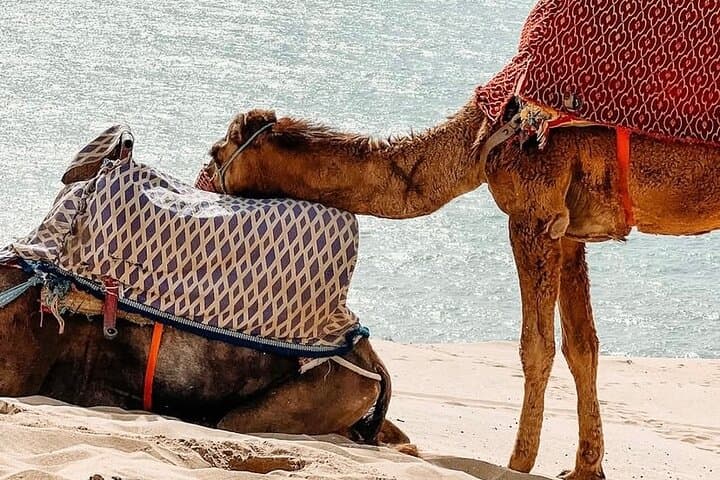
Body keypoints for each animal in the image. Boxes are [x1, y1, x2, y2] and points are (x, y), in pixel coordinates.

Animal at [203, 103, 720, 479]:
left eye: (214, 151)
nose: (200, 184)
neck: (476, 143)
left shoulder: (532, 214)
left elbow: (536, 346)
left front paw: (517, 464)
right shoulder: (570, 231)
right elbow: (582, 347)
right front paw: (585, 468)